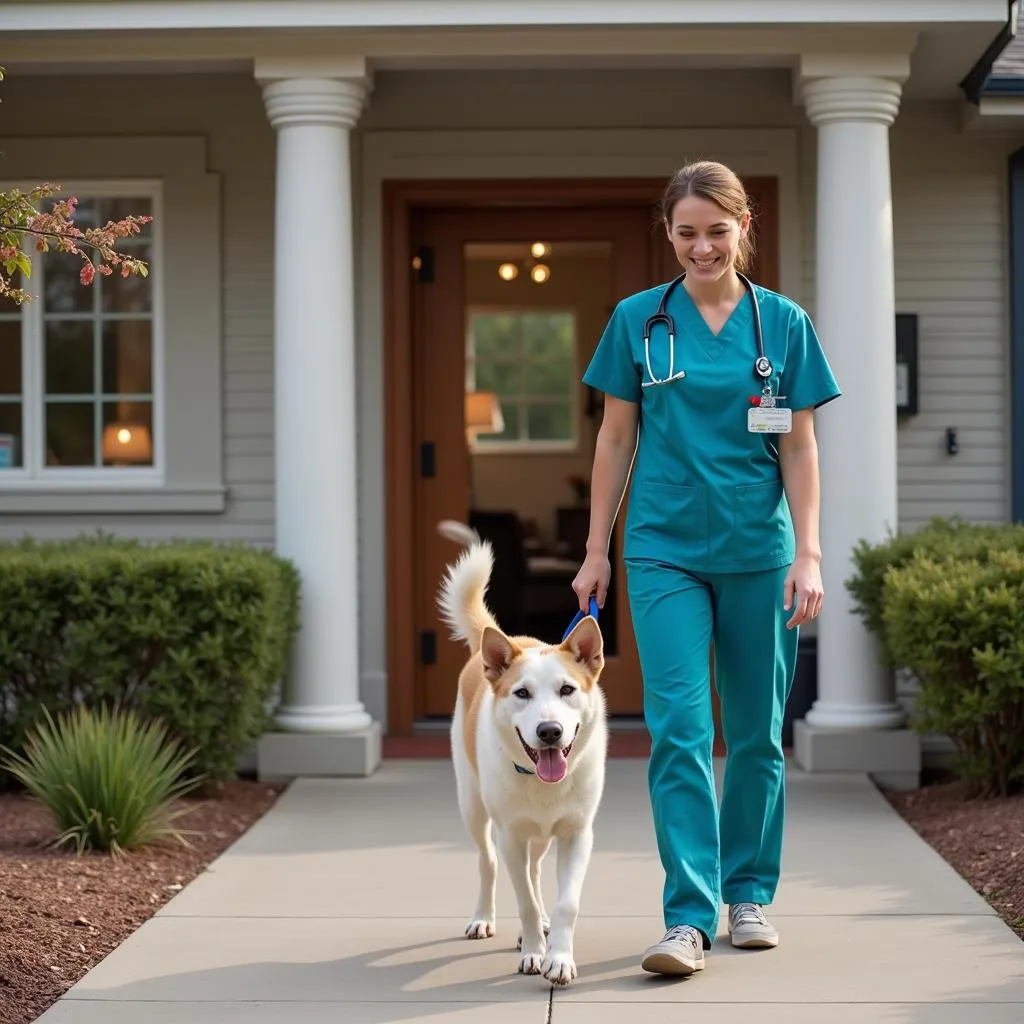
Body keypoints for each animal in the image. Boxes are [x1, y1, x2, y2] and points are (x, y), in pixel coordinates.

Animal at [434, 540, 606, 987]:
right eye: (522, 694)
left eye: (567, 690)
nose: (549, 731)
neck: (541, 783)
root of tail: (507, 640)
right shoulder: (510, 834)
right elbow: (523, 898)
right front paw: (533, 952)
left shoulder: (577, 835)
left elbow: (566, 903)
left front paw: (557, 955)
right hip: (473, 807)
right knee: (489, 861)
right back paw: (484, 918)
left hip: (541, 837)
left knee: (534, 871)